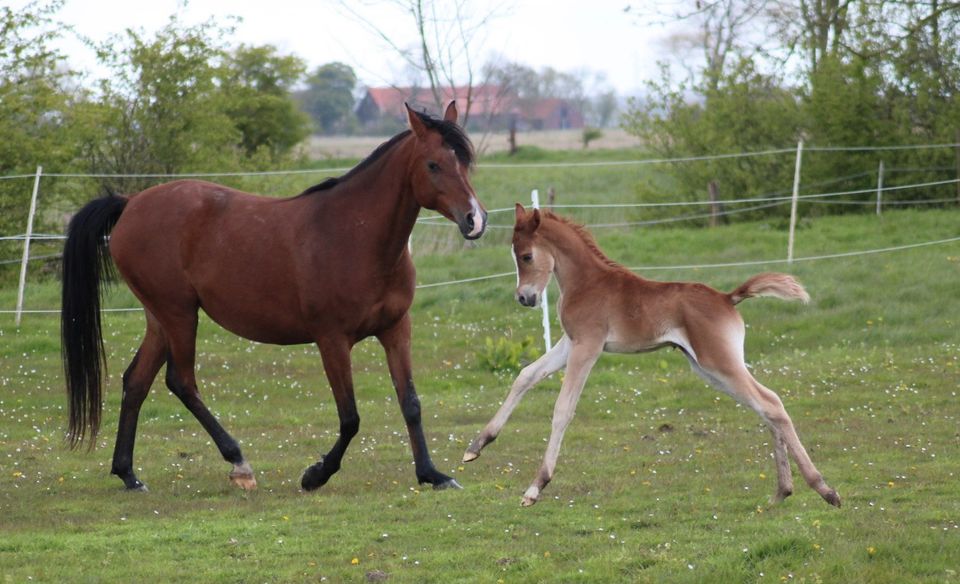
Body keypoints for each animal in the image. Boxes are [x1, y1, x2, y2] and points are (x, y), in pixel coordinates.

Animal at [62, 101, 488, 492]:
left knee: (136, 381)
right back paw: (238, 462)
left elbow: (411, 404)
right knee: (182, 382)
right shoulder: (332, 340)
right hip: (179, 314)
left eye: (465, 163)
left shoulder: (396, 329)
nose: (475, 220)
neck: (356, 236)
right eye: (433, 165)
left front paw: (432, 474)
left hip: (160, 318)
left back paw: (128, 473)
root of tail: (131, 202)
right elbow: (350, 417)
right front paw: (316, 474)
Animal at [464, 205, 840, 506]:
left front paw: (536, 486)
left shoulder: (587, 346)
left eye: (527, 256)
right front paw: (477, 445)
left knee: (771, 404)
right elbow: (525, 376)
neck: (587, 282)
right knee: (766, 405)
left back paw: (825, 489)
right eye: (515, 256)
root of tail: (727, 297)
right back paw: (783, 490)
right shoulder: (569, 343)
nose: (524, 298)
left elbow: (562, 409)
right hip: (710, 369)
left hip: (719, 363)